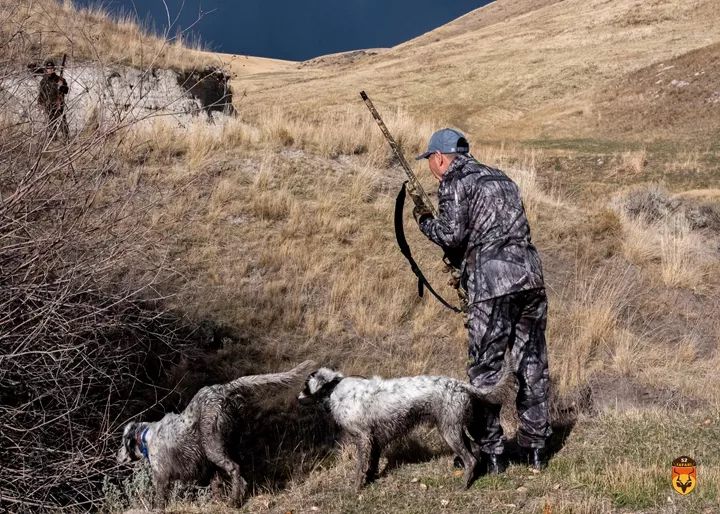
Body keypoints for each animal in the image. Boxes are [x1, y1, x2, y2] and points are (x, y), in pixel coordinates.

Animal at [118, 358, 316, 506]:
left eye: (122, 442)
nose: (117, 456)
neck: (146, 436)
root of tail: (224, 389)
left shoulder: (161, 477)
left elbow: (160, 500)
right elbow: (215, 485)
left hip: (214, 448)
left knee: (235, 469)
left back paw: (234, 501)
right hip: (228, 445)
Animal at [296, 364, 510, 488]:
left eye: (305, 386)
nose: (297, 398)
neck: (334, 388)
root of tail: (459, 385)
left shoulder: (363, 438)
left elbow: (360, 468)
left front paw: (356, 488)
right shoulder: (374, 440)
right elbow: (372, 465)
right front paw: (371, 480)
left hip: (449, 432)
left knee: (470, 459)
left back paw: (463, 485)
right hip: (454, 429)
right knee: (474, 454)